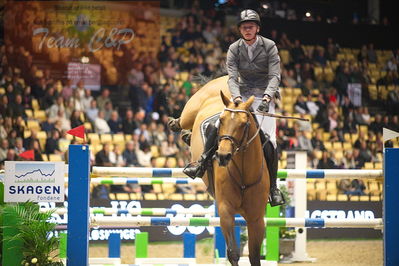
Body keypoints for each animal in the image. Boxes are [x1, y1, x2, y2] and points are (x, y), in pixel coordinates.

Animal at [177, 75, 268, 266]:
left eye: (244, 124)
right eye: (222, 121)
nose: (223, 155)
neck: (243, 175)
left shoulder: (256, 218)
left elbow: (254, 256)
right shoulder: (226, 211)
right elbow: (233, 252)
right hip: (190, 111)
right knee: (182, 122)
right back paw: (178, 127)